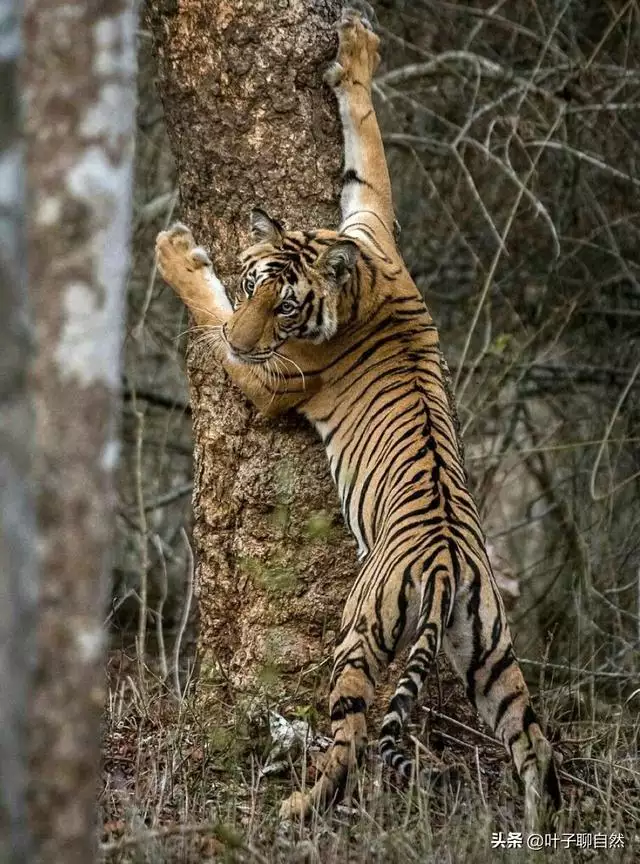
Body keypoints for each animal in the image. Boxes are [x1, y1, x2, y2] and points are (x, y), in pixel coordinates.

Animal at [154, 5, 560, 832]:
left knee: (350, 741)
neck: (358, 277)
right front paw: (357, 54)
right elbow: (367, 150)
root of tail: (445, 568)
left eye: (280, 306)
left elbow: (212, 320)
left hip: (361, 633)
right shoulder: (370, 213)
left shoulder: (271, 375)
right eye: (255, 282)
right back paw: (539, 827)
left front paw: (177, 252)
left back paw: (297, 806)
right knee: (533, 743)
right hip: (491, 654)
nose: (252, 331)